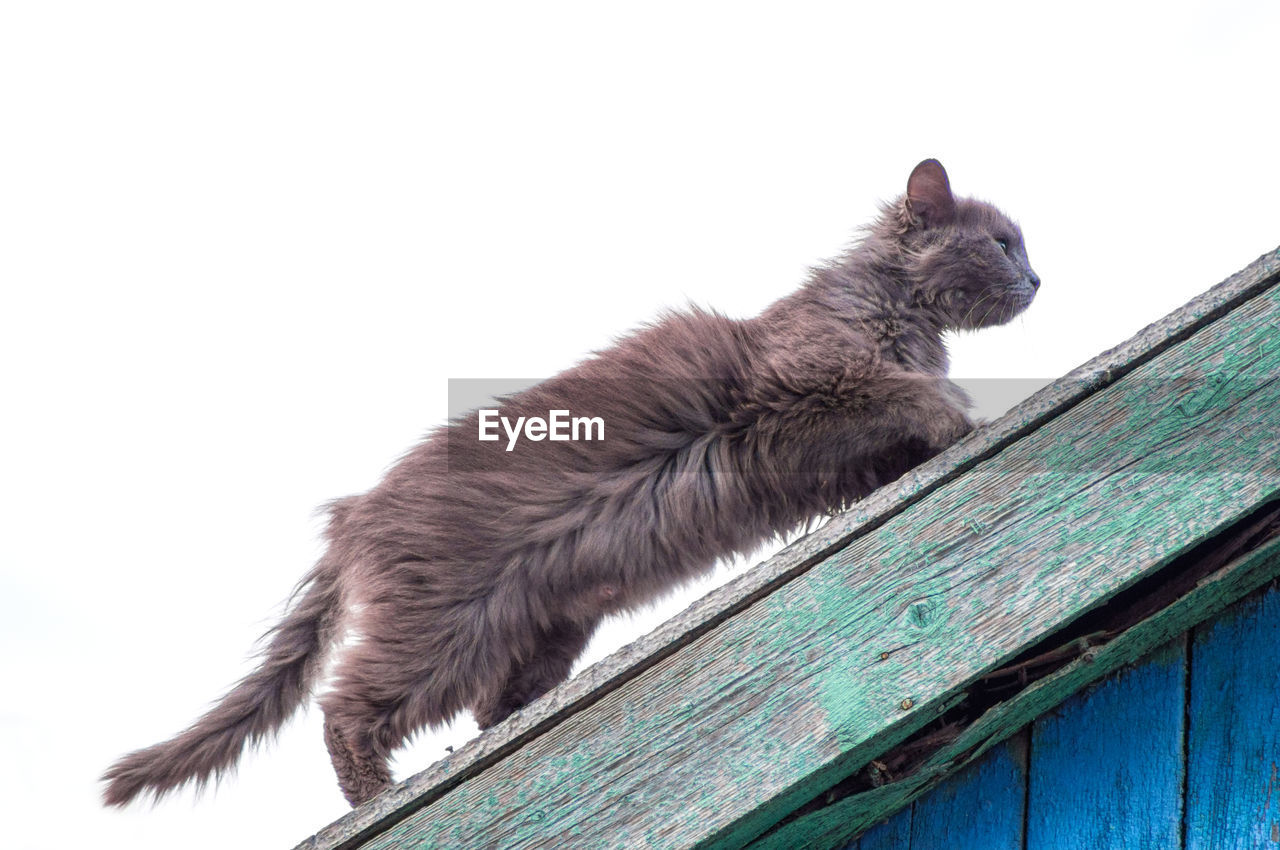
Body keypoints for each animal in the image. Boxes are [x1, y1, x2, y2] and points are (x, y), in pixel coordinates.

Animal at [102, 156, 1039, 809]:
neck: (897, 308)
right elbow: (915, 395)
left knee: (487, 713)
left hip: (544, 625)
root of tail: (354, 514)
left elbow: (899, 433)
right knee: (345, 706)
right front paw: (963, 415)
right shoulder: (803, 391)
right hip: (442, 628)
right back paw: (376, 795)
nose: (1038, 278)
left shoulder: (835, 445)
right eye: (1002, 243)